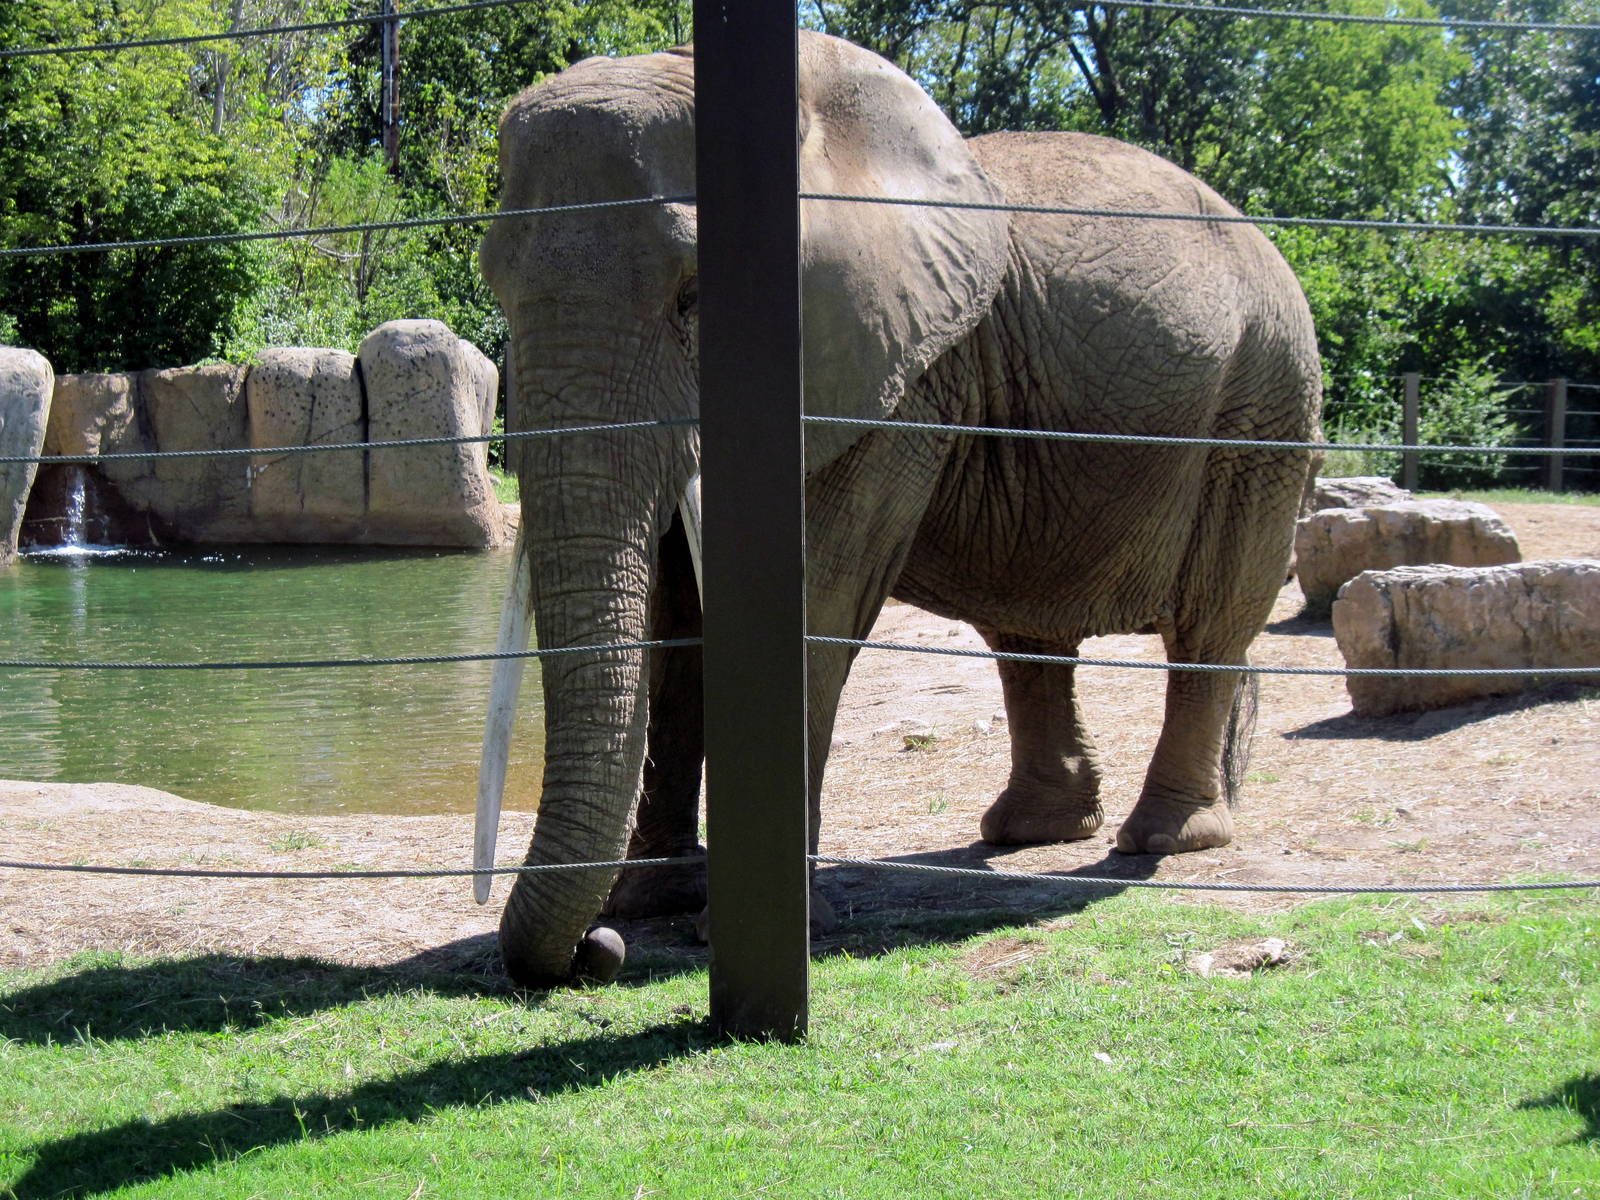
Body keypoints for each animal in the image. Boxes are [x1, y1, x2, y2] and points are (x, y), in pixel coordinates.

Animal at [474, 32, 1322, 987]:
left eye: (693, 298)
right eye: (493, 284)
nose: (594, 954)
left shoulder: (906, 379)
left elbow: (811, 597)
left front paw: (713, 923)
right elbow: (678, 614)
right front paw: (648, 902)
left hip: (1261, 405)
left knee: (1211, 622)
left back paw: (1167, 841)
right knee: (1028, 635)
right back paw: (1031, 830)